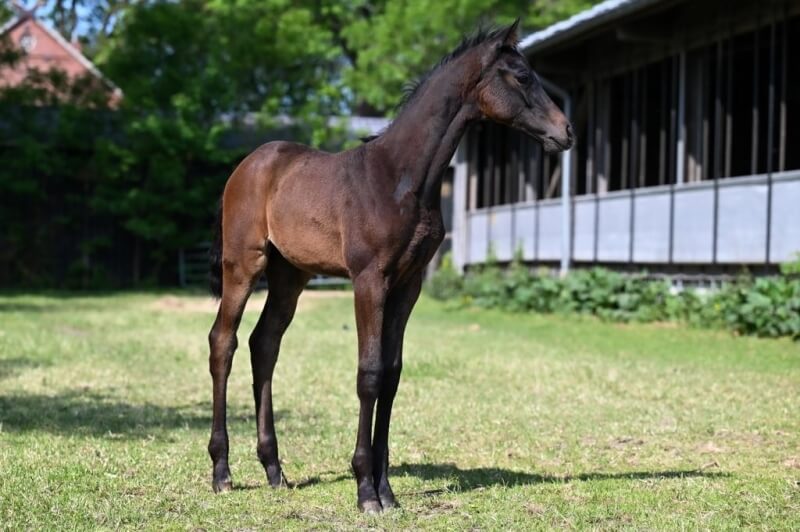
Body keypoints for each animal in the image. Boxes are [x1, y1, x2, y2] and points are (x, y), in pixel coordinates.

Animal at [206, 19, 573, 513]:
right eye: (521, 76)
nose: (566, 131)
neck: (401, 179)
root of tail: (247, 165)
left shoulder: (408, 284)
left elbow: (393, 374)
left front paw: (387, 490)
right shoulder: (370, 280)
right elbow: (370, 373)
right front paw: (365, 490)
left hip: (290, 276)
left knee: (264, 344)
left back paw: (274, 470)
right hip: (244, 264)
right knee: (222, 342)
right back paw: (222, 472)